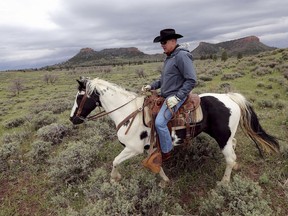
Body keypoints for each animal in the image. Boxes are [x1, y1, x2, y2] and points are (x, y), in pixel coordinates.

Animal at [70, 77, 280, 184]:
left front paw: (115, 179)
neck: (129, 113)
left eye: (80, 97)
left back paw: (224, 182)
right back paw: (235, 168)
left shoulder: (133, 149)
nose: (72, 119)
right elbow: (157, 164)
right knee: (234, 148)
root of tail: (230, 97)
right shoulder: (151, 148)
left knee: (230, 158)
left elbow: (114, 161)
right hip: (227, 137)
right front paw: (165, 179)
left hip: (222, 138)